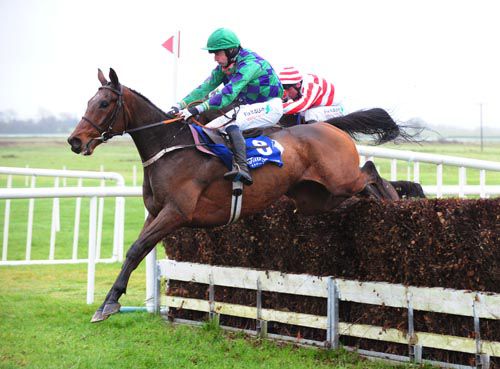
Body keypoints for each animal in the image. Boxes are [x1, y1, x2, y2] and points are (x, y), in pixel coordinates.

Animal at [69, 67, 406, 320]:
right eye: (88, 101)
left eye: (103, 104)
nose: (75, 141)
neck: (170, 147)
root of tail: (330, 126)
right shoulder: (156, 213)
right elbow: (134, 252)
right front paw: (109, 302)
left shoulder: (176, 212)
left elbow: (138, 248)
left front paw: (108, 304)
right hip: (316, 198)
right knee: (359, 190)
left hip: (341, 179)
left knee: (370, 172)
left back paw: (393, 203)